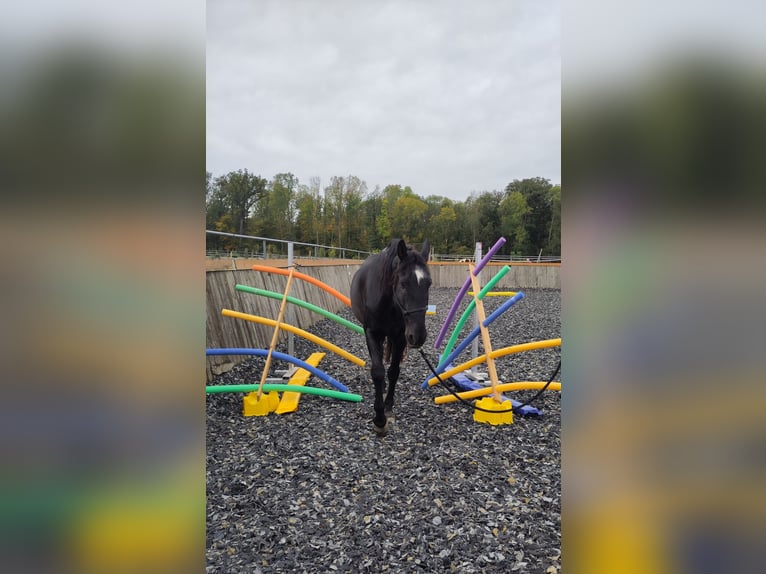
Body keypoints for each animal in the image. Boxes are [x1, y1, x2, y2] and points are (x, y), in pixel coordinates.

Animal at [352, 240, 432, 436]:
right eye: (403, 284)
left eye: (428, 284)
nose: (418, 336)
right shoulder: (372, 334)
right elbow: (377, 371)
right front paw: (379, 419)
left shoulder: (400, 337)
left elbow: (393, 371)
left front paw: (387, 407)